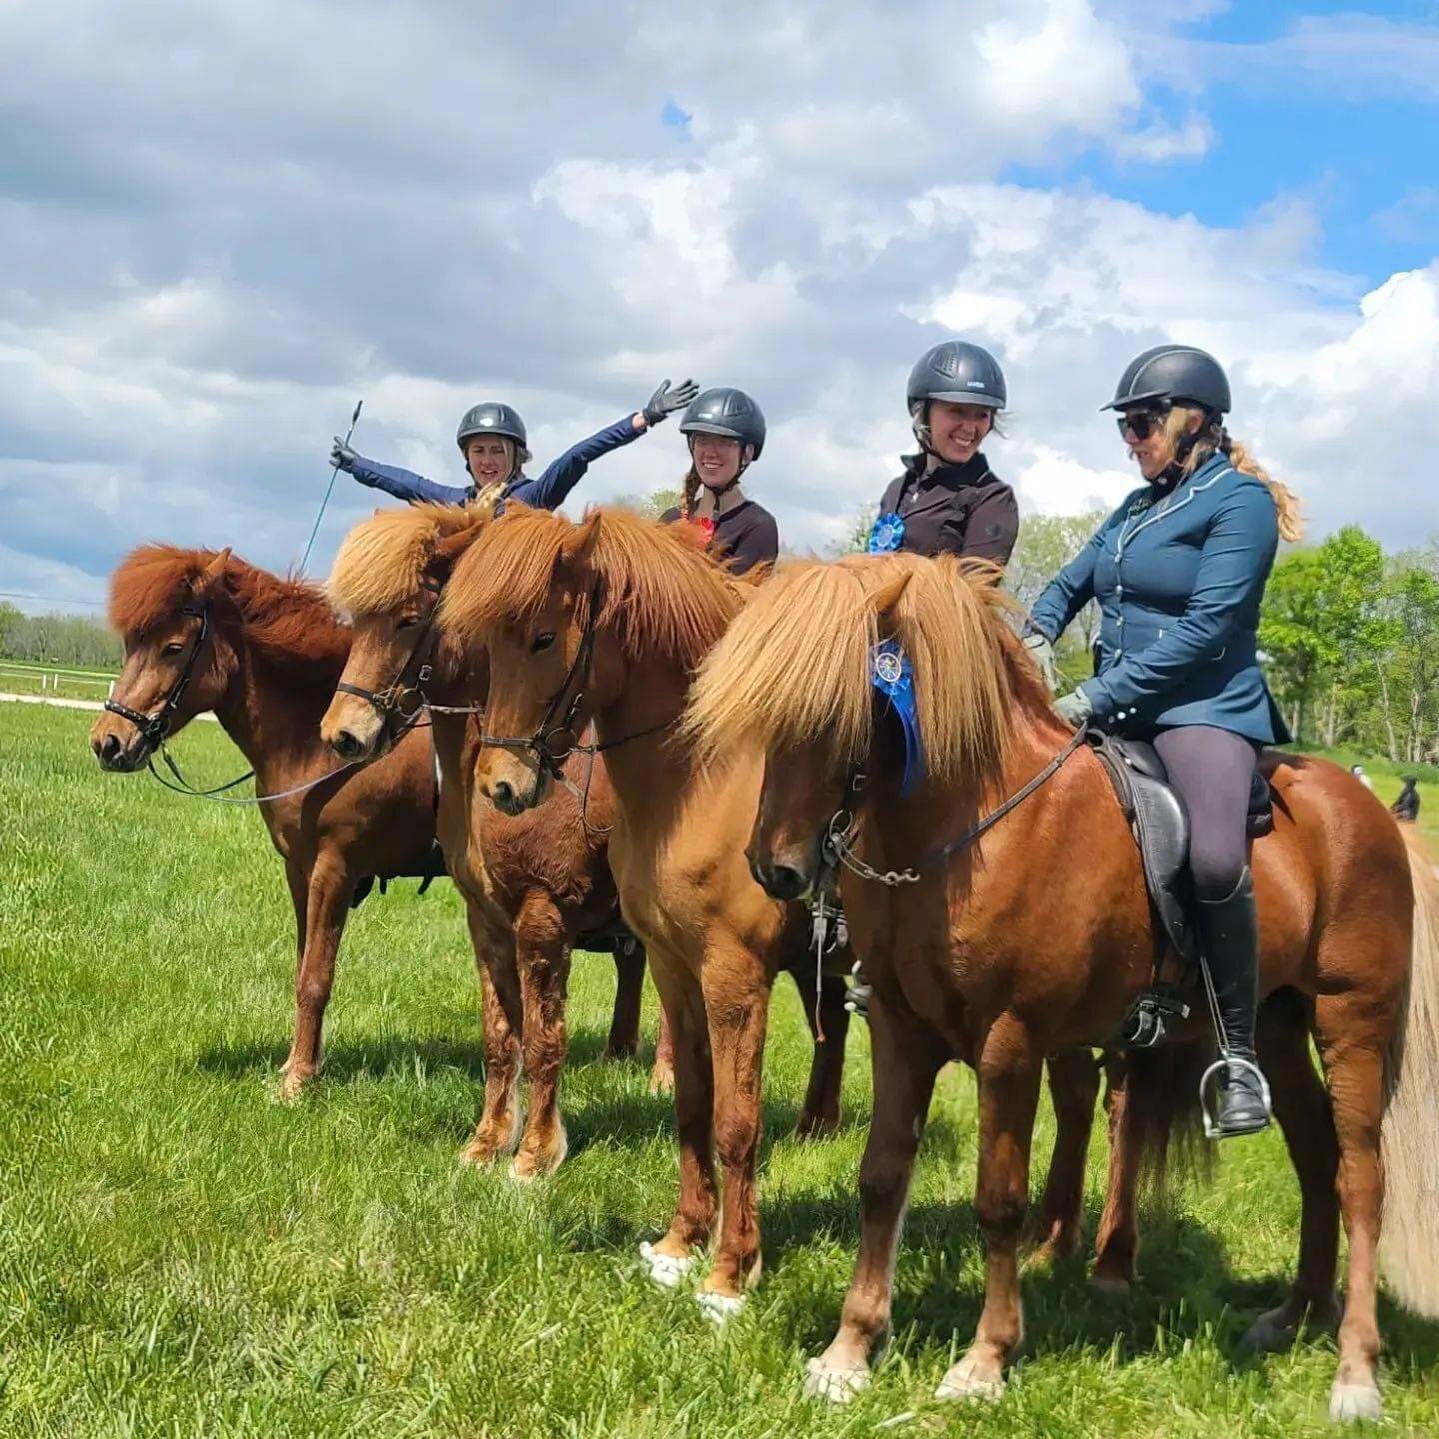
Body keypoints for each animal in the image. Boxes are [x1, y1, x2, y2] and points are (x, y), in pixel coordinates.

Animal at [89, 543, 647, 1105]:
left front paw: (298, 1079)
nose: (108, 741)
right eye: (132, 643)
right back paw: (618, 1055)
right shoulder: (299, 872)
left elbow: (316, 977)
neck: (316, 740)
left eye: (173, 647)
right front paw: (299, 1061)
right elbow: (304, 964)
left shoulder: (334, 871)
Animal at [320, 500, 673, 1174]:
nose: (343, 735)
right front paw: (487, 1141)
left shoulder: (543, 917)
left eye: (408, 619)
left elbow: (544, 1039)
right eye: (356, 621)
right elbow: (500, 1034)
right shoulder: (486, 918)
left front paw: (537, 1152)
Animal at [684, 546, 1439, 1415]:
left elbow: (998, 1198)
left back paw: (1354, 1370)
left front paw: (984, 1358)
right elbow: (880, 1179)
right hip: (1277, 1026)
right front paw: (848, 1349)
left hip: (1351, 1022)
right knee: (1317, 1160)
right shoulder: (901, 1031)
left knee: (1361, 1178)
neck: (972, 828)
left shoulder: (1009, 1042)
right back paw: (1292, 1315)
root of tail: (1379, 817)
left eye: (843, 709)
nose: (773, 868)